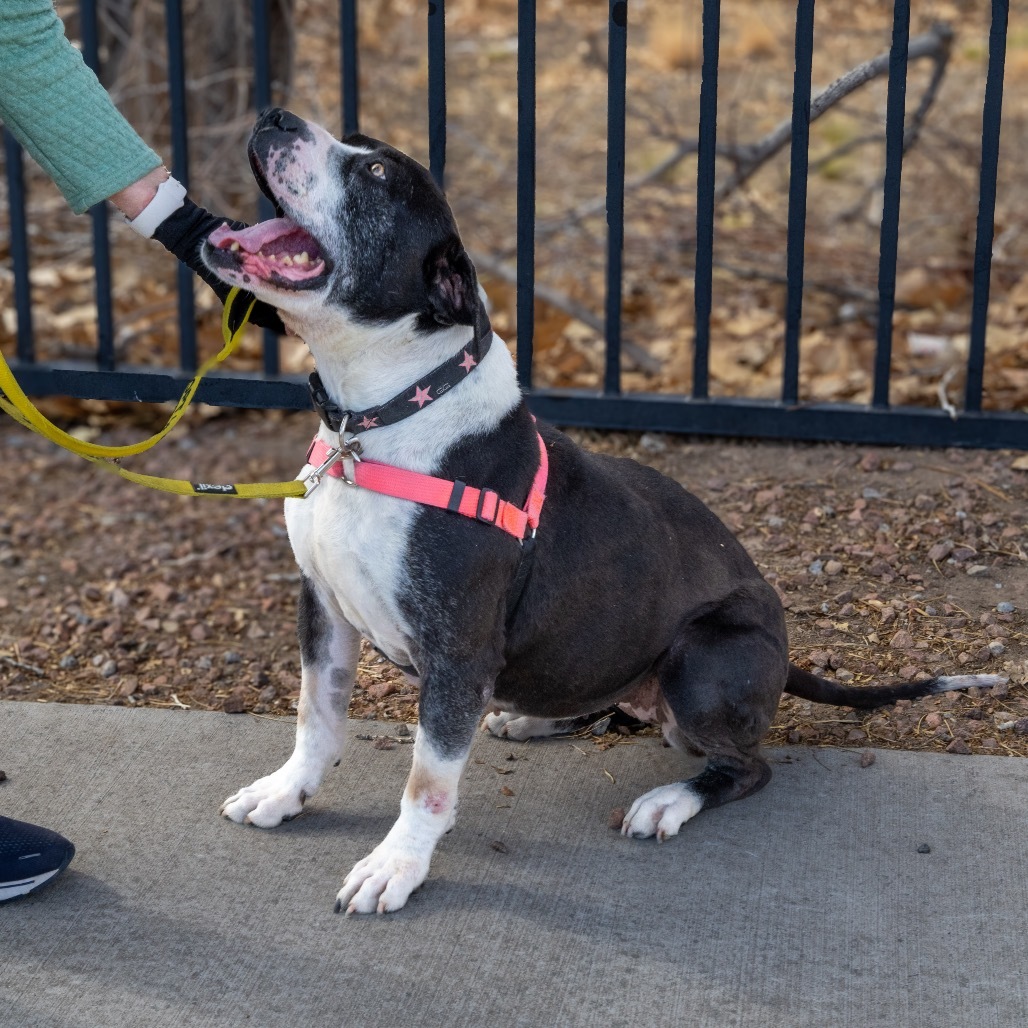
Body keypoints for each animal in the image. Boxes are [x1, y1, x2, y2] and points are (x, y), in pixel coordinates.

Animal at [202, 108, 1003, 916]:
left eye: (376, 173)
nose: (275, 115)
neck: (372, 425)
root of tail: (782, 656)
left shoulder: (458, 652)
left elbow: (427, 780)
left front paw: (397, 863)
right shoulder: (323, 606)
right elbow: (316, 716)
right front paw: (286, 792)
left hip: (700, 658)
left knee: (747, 765)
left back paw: (670, 799)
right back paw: (538, 717)